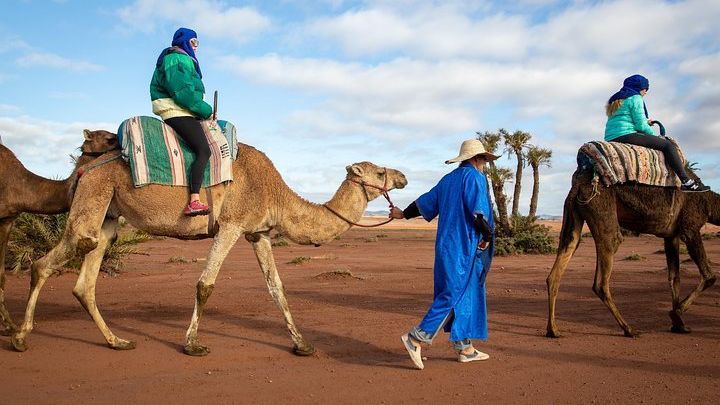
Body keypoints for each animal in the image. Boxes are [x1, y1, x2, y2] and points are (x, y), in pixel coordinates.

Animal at [11, 133, 407, 356]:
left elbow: (276, 288)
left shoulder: (258, 233)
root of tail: (84, 164)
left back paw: (117, 342)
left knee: (85, 280)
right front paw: (192, 344)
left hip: (108, 214)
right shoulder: (231, 225)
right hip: (95, 194)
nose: (403, 176)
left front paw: (303, 345)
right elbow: (205, 285)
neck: (276, 193)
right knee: (48, 261)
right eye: (379, 172)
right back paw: (20, 337)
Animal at [546, 168, 719, 338]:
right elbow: (709, 276)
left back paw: (553, 330)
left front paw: (679, 325)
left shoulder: (671, 235)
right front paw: (675, 313)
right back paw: (629, 329)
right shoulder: (690, 227)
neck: (709, 203)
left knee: (559, 265)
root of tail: (578, 185)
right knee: (601, 278)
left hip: (574, 213)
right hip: (600, 207)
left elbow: (674, 278)